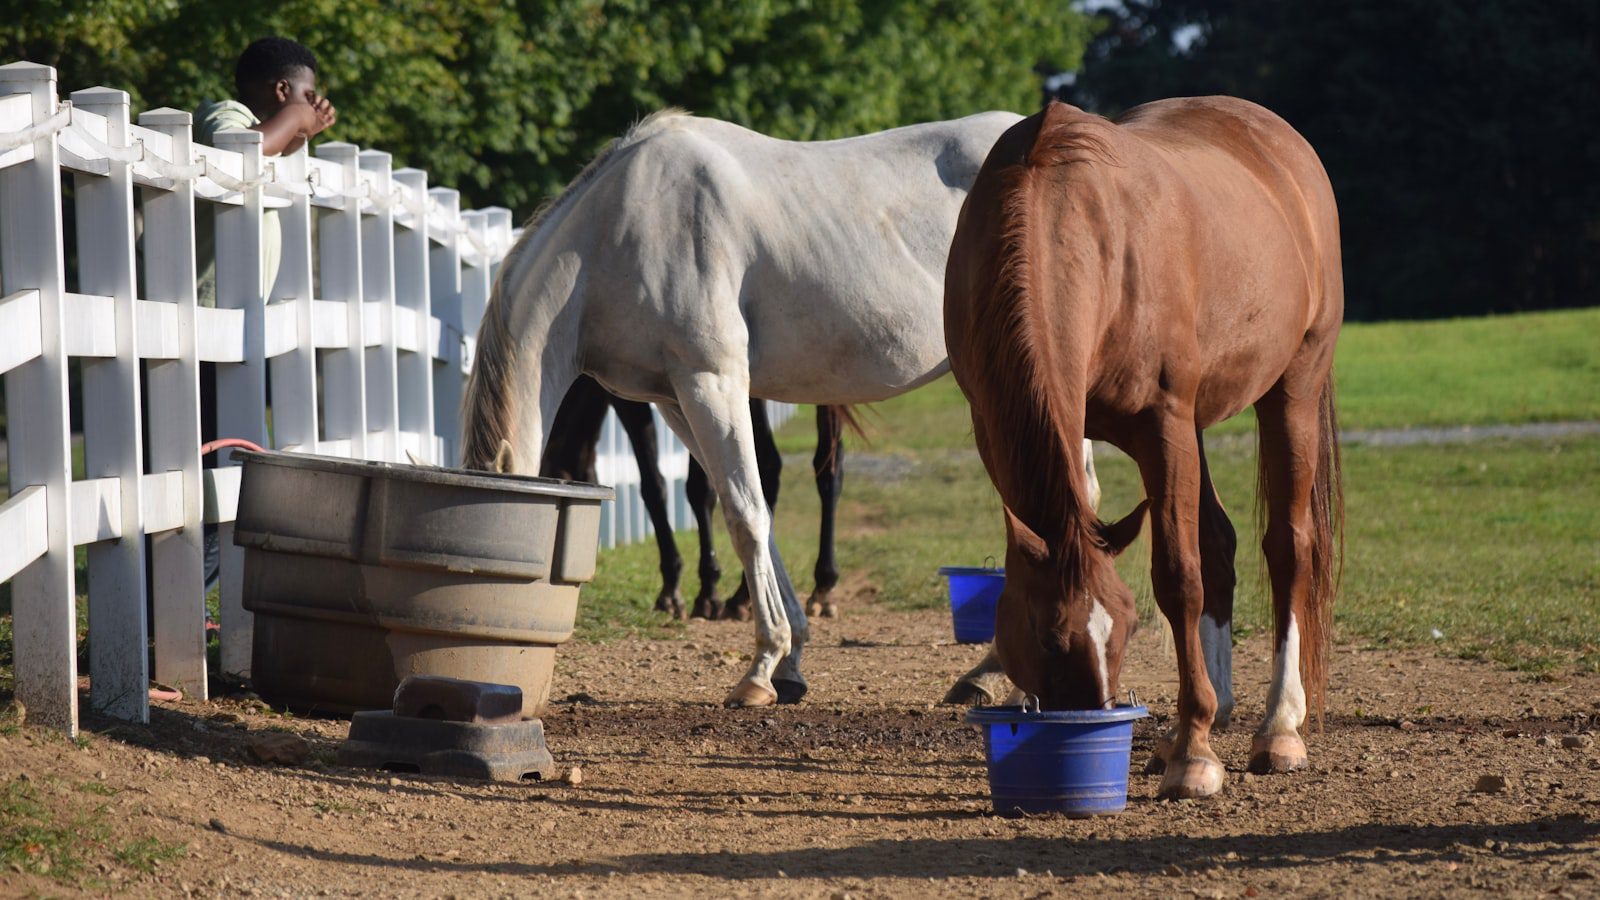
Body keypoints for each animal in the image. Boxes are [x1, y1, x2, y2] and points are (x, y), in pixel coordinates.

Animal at [464, 106, 1100, 707]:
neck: (617, 231)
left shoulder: (713, 383)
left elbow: (746, 517)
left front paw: (760, 669)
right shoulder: (675, 399)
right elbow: (748, 511)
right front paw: (790, 663)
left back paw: (1008, 678)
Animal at [940, 99, 1344, 797]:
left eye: (1127, 626)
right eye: (1048, 637)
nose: (1087, 716)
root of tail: (1281, 141)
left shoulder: (1163, 425)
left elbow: (1178, 578)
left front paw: (1194, 757)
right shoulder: (999, 422)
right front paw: (1190, 731)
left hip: (1292, 386)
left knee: (1288, 548)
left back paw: (1278, 727)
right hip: (1201, 421)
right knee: (1221, 542)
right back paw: (1218, 707)